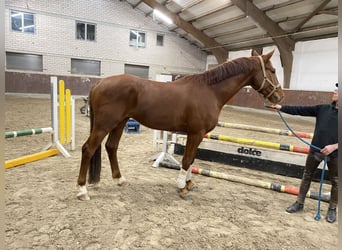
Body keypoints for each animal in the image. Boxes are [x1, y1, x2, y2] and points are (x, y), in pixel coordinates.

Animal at [77, 49, 284, 200]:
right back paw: (82, 190)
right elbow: (186, 160)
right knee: (88, 149)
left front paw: (189, 183)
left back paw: (120, 180)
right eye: (273, 71)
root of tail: (99, 83)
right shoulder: (196, 133)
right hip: (104, 125)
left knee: (111, 147)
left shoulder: (196, 135)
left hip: (119, 123)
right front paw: (182, 187)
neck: (210, 91)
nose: (279, 96)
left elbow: (191, 160)